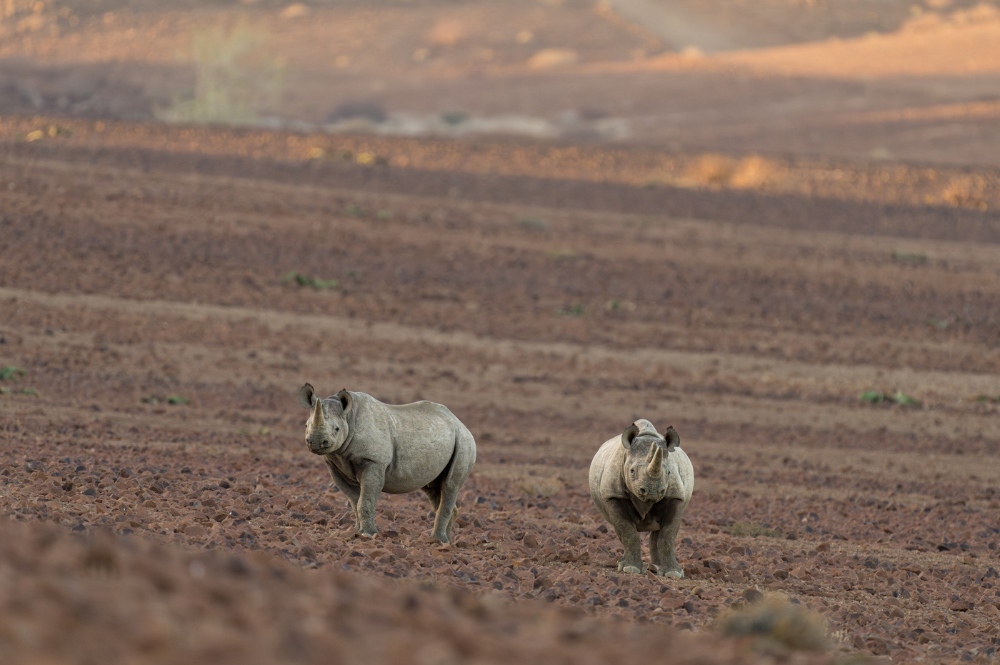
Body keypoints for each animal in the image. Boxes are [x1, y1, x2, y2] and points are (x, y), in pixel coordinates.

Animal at [296, 382, 476, 544]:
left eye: (337, 429)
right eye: (305, 425)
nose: (316, 442)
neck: (348, 417)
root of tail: (459, 422)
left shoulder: (373, 461)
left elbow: (366, 500)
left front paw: (369, 534)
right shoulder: (335, 463)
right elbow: (354, 500)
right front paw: (357, 530)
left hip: (464, 441)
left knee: (450, 486)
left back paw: (436, 541)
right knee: (433, 488)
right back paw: (447, 542)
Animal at [584, 420, 696, 576]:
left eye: (668, 472)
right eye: (631, 471)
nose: (652, 491)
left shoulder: (675, 496)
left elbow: (668, 535)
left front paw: (673, 573)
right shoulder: (614, 495)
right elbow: (628, 532)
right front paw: (632, 569)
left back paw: (656, 566)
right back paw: (623, 564)